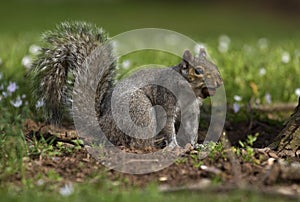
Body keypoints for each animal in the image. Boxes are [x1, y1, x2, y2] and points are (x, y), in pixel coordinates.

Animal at [29, 21, 223, 149]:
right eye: (198, 71)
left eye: (215, 66)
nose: (220, 82)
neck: (190, 92)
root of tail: (103, 124)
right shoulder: (166, 98)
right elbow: (168, 124)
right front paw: (174, 145)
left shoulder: (192, 110)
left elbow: (191, 128)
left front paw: (195, 145)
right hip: (139, 109)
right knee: (136, 141)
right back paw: (154, 144)